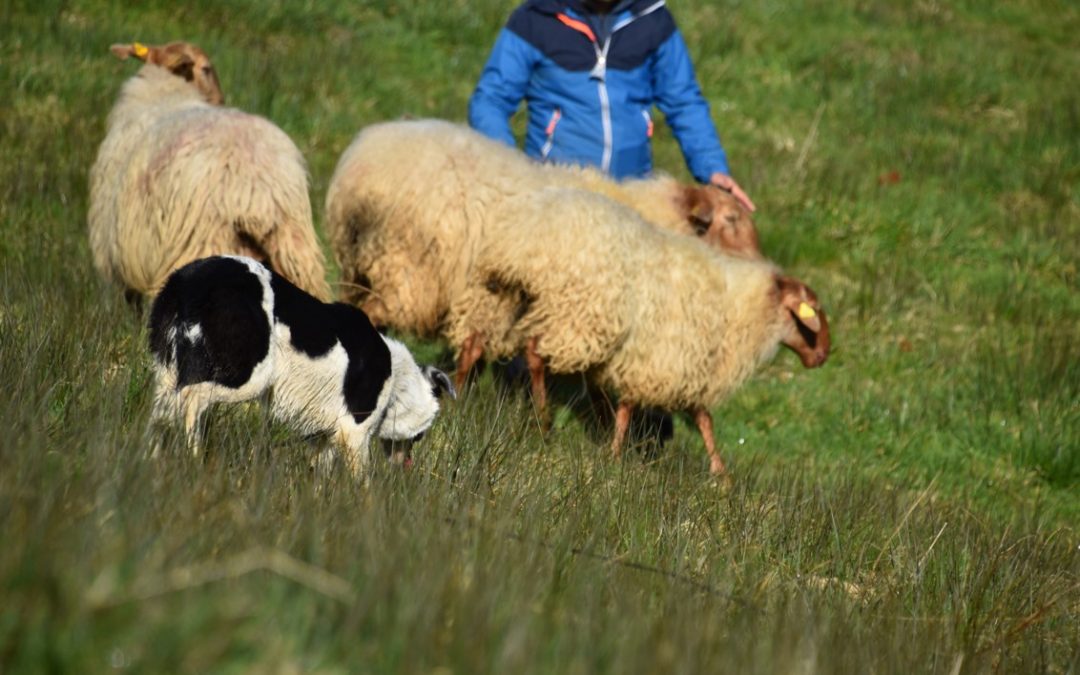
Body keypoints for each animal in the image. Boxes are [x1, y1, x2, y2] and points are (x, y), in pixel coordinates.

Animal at [147, 253, 451, 473]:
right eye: (421, 436)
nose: (406, 466)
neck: (397, 382)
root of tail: (186, 283)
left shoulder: (324, 439)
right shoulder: (353, 434)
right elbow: (363, 487)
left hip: (168, 374)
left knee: (161, 416)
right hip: (245, 375)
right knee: (191, 399)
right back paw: (193, 459)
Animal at [447, 187, 825, 473]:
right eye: (813, 313)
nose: (821, 357)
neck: (742, 307)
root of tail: (524, 236)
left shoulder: (652, 360)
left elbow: (631, 403)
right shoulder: (671, 359)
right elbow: (698, 418)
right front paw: (719, 475)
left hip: (502, 295)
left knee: (475, 341)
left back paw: (457, 394)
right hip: (572, 312)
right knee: (536, 355)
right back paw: (543, 422)